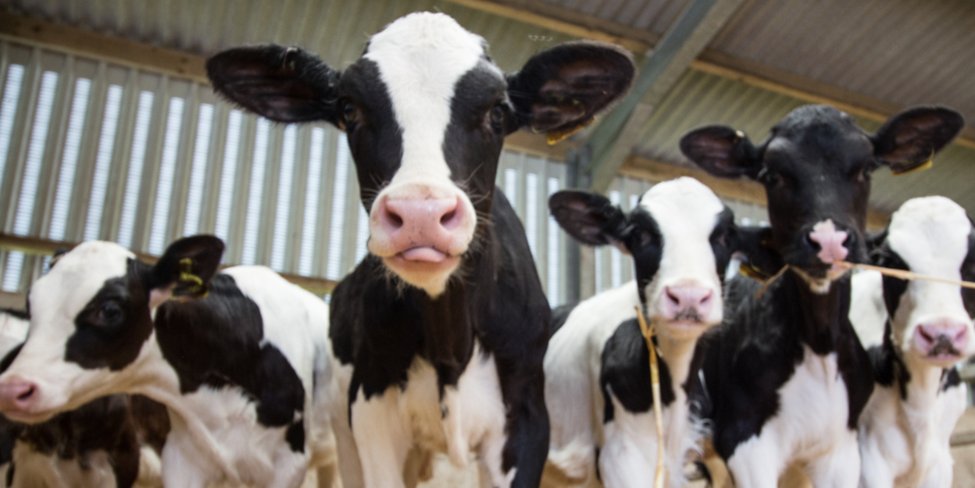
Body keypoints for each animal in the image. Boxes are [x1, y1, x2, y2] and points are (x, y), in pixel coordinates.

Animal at [205, 11, 635, 488]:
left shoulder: (527, 416)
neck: (450, 344)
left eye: (498, 110)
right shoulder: (369, 406)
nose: (420, 213)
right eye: (349, 109)